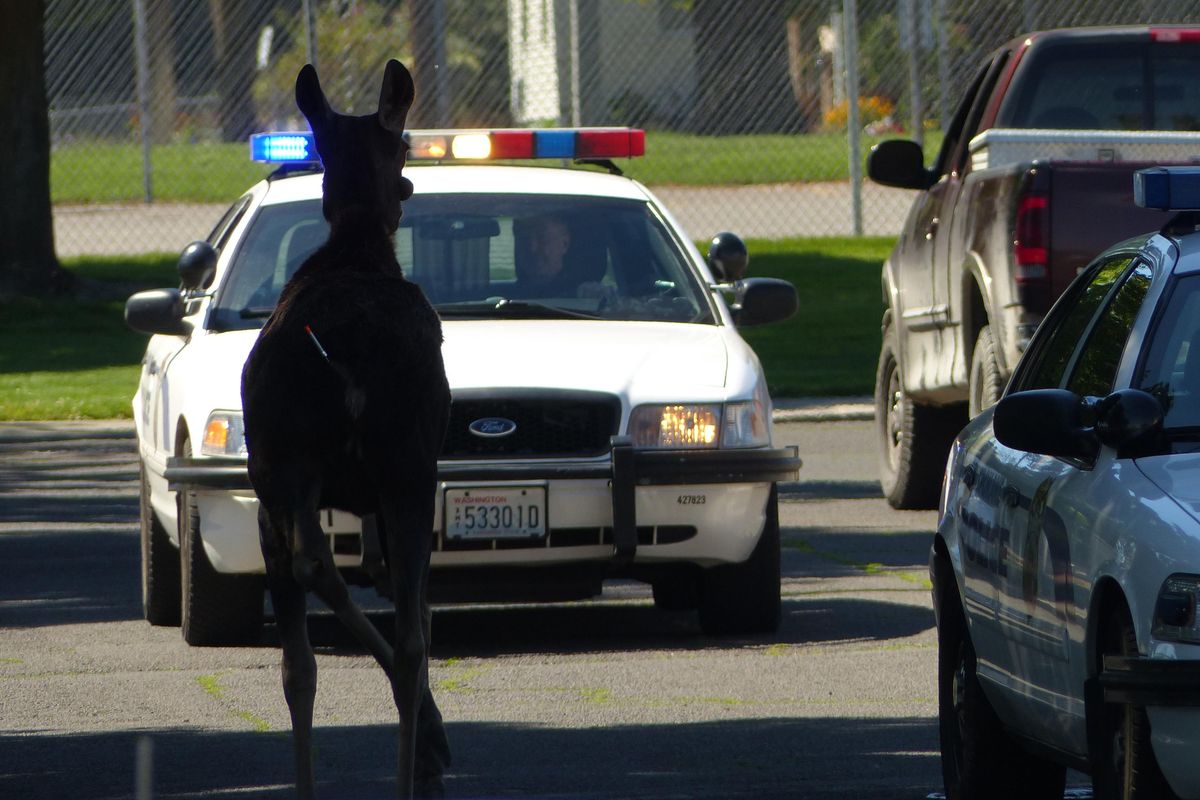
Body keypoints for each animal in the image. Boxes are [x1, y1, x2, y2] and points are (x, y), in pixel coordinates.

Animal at [238, 59, 451, 796]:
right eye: (407, 145)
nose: (408, 188)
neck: (356, 249)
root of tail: (348, 357)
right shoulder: (405, 484)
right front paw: (430, 747)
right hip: (407, 462)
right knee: (410, 639)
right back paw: (422, 756)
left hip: (280, 467)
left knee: (303, 632)